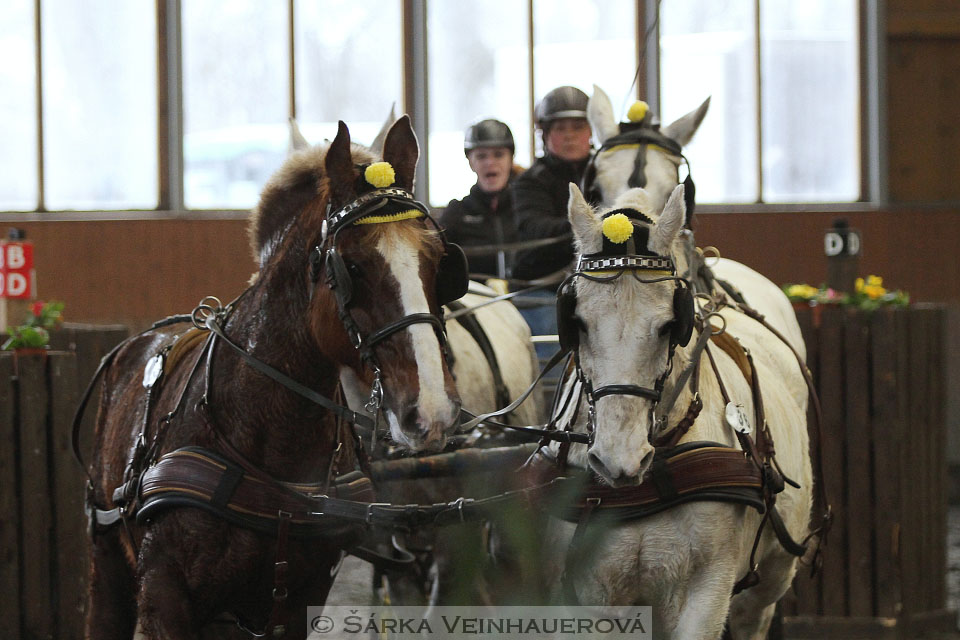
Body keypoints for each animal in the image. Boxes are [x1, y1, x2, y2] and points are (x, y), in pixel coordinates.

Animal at [80, 116, 464, 640]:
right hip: (108, 569)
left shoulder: (299, 600)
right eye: (353, 265)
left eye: (439, 261)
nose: (430, 410)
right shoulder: (164, 597)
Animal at [544, 182, 812, 636]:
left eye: (670, 324)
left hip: (769, 579)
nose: (619, 460)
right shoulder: (586, 600)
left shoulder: (708, 591)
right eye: (576, 322)